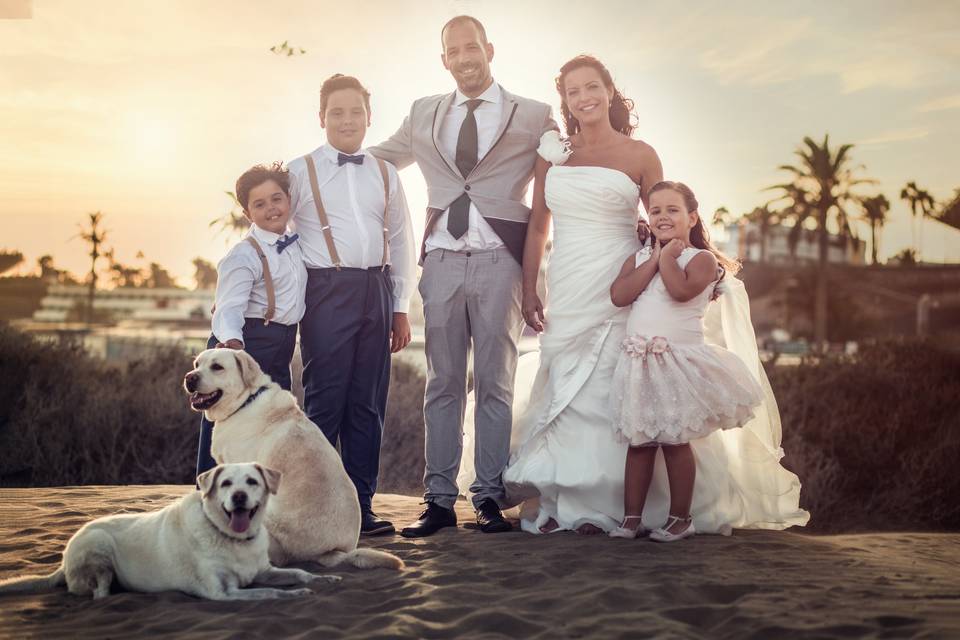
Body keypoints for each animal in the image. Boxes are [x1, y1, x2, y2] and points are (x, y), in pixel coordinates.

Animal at [0, 462, 342, 596]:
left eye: (251, 482)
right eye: (226, 483)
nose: (238, 497)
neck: (233, 539)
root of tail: (63, 560)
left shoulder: (262, 570)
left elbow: (298, 572)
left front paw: (325, 579)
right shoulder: (223, 593)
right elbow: (271, 593)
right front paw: (297, 594)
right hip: (98, 546)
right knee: (98, 593)